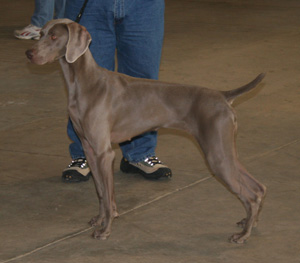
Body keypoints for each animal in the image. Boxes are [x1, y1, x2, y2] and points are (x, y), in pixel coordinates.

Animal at [24, 19, 266, 245]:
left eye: (54, 37)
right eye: (40, 34)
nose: (28, 53)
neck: (83, 83)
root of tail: (223, 96)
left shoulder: (104, 153)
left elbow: (109, 196)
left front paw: (105, 230)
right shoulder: (89, 149)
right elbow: (101, 191)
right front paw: (99, 219)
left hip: (217, 155)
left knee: (251, 195)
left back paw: (243, 235)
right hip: (225, 150)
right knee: (259, 187)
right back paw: (248, 222)